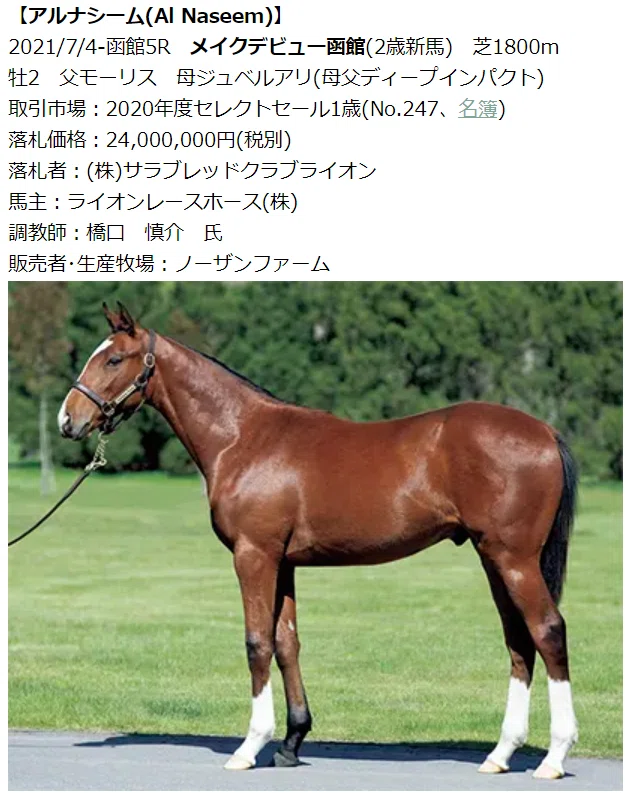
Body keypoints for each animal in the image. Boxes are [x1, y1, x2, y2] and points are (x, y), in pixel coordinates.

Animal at [57, 302, 578, 779]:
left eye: (113, 359)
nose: (68, 419)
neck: (243, 437)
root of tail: (546, 431)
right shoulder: (284, 562)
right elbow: (286, 643)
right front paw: (291, 742)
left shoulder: (254, 556)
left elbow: (256, 643)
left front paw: (250, 746)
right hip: (493, 558)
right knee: (519, 641)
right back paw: (500, 754)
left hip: (514, 559)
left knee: (548, 631)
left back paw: (553, 757)